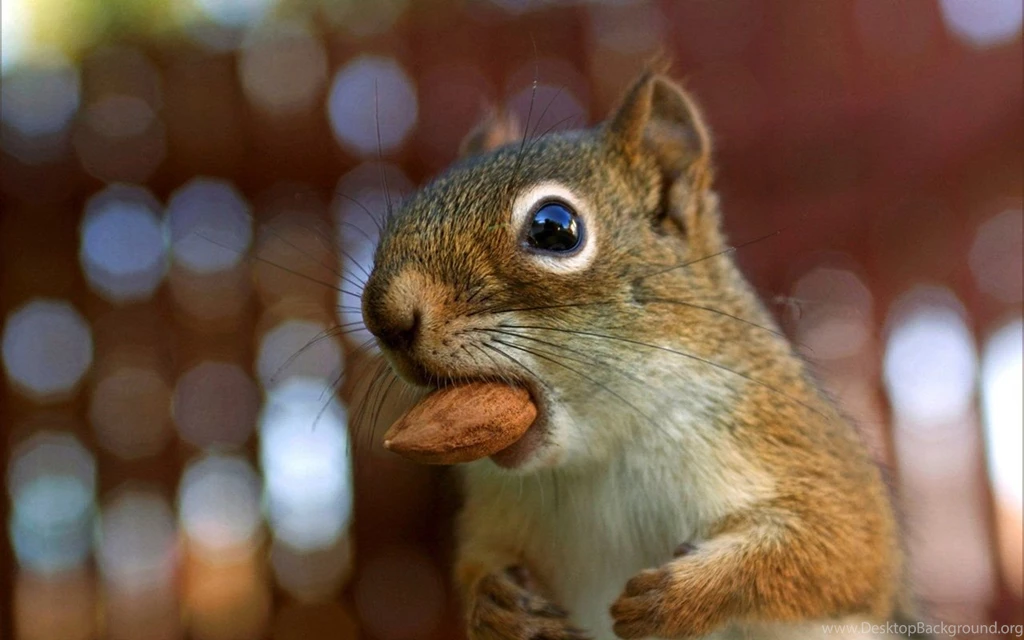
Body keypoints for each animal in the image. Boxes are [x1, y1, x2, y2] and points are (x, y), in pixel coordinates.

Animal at [360, 68, 917, 640]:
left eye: (554, 227)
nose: (385, 317)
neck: (599, 451)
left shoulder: (796, 447)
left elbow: (841, 546)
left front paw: (679, 596)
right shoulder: (494, 513)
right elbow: (477, 561)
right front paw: (492, 603)